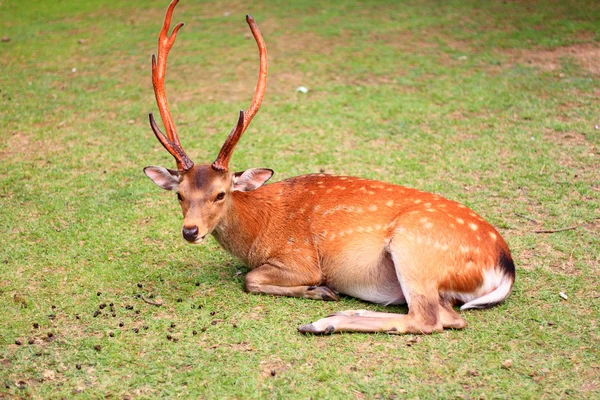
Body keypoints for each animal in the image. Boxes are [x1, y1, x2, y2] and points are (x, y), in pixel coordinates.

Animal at [144, 0, 516, 336]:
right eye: (179, 194)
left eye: (220, 194)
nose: (190, 231)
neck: (257, 231)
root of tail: (505, 266)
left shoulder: (298, 259)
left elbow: (250, 279)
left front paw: (321, 290)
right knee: (447, 314)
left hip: (416, 248)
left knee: (430, 318)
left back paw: (323, 322)